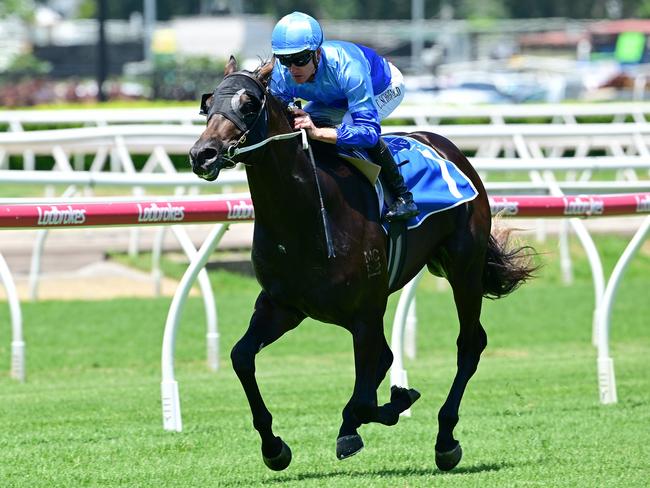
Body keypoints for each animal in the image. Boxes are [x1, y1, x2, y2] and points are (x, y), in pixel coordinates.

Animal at [189, 58, 536, 472]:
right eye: (207, 104)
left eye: (248, 103)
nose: (203, 154)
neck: (305, 214)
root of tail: (449, 147)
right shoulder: (283, 305)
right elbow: (241, 357)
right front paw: (274, 447)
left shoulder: (365, 313)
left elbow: (369, 393)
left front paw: (384, 409)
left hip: (464, 269)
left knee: (469, 344)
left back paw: (445, 439)